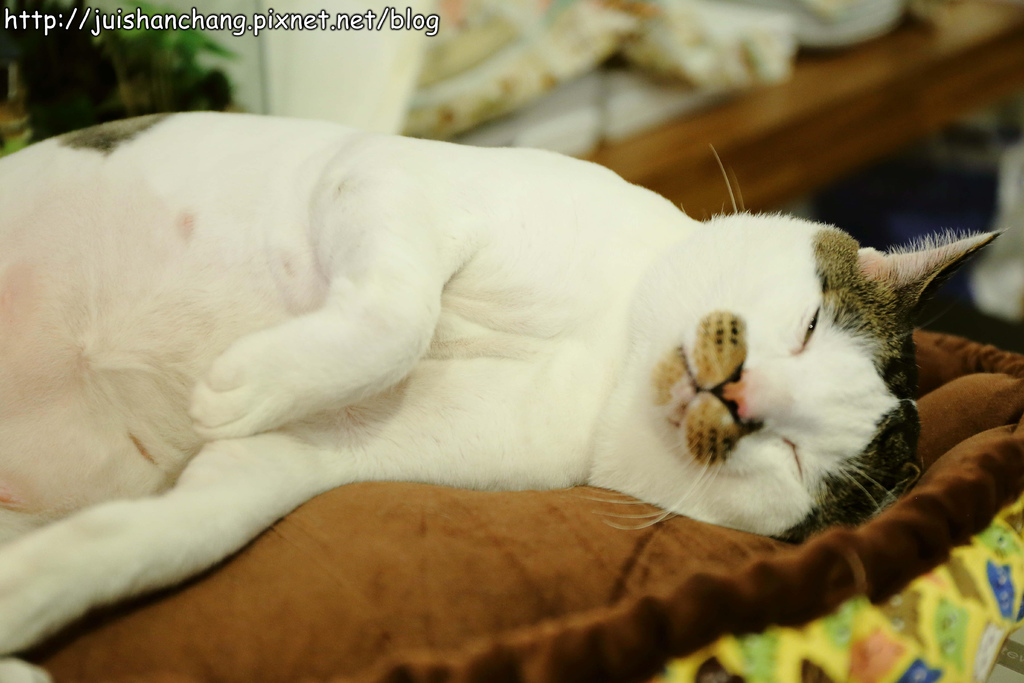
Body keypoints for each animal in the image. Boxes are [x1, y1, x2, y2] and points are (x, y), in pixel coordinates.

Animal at [0, 112, 993, 674]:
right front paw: (255, 377)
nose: (744, 398)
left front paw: (31, 592)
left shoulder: (296, 464)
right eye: (812, 324)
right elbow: (399, 318)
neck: (606, 353)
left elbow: (165, 530)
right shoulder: (392, 181)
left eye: (797, 463)